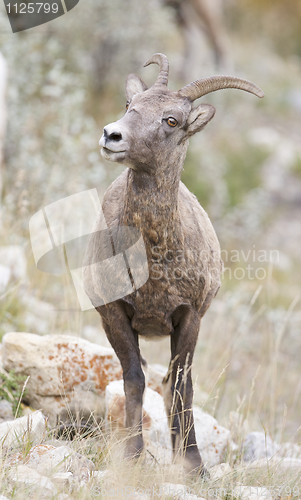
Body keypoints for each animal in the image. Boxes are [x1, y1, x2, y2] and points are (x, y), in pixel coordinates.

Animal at [82, 52, 262, 474]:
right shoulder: (114, 315)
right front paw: (132, 459)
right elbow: (135, 379)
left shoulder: (189, 317)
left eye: (172, 120)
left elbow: (181, 385)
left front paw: (195, 468)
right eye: (129, 104)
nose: (112, 135)